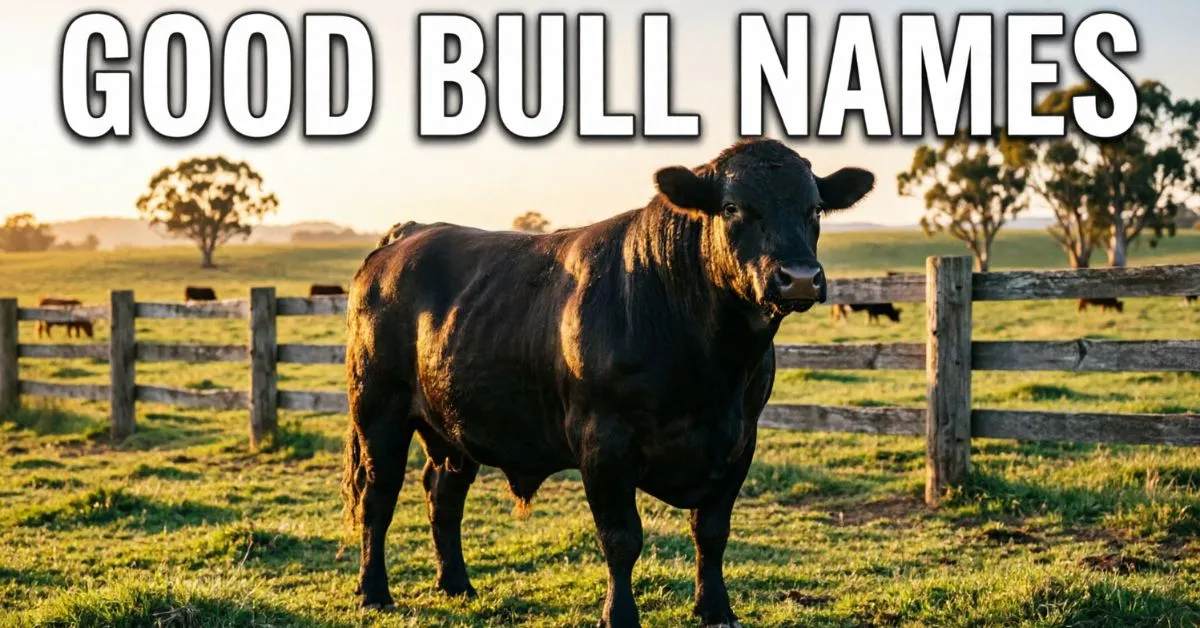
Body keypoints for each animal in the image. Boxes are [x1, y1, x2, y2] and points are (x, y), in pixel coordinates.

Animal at [342, 139, 875, 627]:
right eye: (731, 207)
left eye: (815, 208)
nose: (799, 277)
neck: (712, 367)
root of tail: (408, 234)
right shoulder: (604, 443)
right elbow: (621, 538)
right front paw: (619, 615)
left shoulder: (740, 441)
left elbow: (711, 531)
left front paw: (716, 610)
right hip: (378, 411)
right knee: (378, 496)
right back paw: (374, 593)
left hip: (453, 427)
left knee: (444, 495)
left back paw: (456, 585)